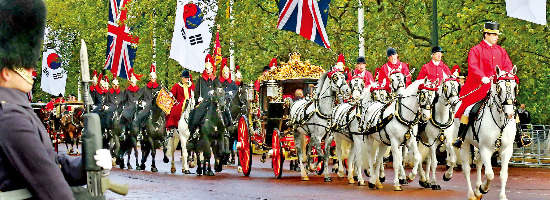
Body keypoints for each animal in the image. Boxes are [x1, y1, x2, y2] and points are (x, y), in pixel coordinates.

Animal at [460, 66, 520, 199]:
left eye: (515, 87)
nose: (510, 114)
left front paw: (502, 196)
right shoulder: (486, 149)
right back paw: (472, 193)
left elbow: (503, 174)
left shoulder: (506, 150)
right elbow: (490, 174)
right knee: (466, 169)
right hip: (465, 144)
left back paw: (477, 191)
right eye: (499, 88)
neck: (500, 121)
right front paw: (484, 187)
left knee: (478, 163)